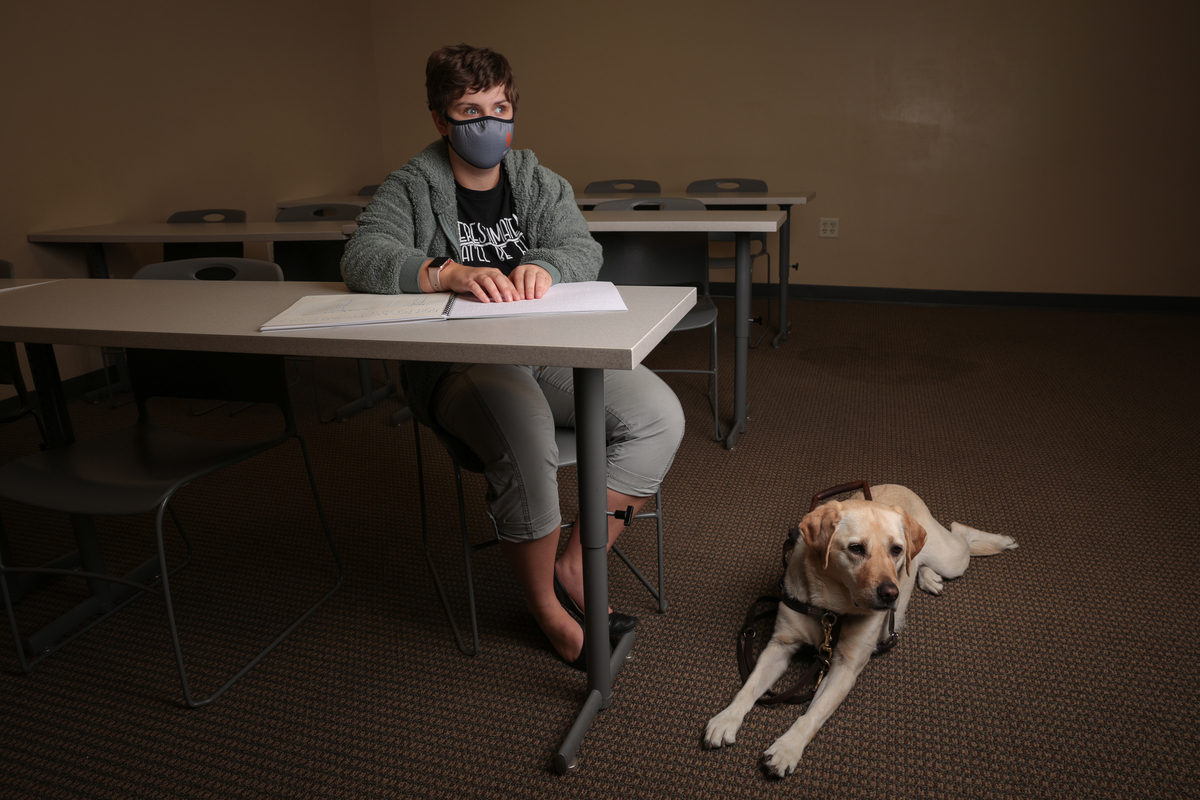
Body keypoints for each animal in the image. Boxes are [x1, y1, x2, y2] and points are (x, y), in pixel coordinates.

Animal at [700, 484, 1012, 777]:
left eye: (895, 549)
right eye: (856, 549)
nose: (891, 594)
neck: (830, 609)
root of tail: (900, 486)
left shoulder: (845, 668)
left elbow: (812, 715)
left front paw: (788, 748)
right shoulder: (780, 645)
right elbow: (749, 687)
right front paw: (726, 718)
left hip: (951, 560)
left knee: (957, 533)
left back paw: (1002, 540)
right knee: (922, 559)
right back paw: (927, 577)